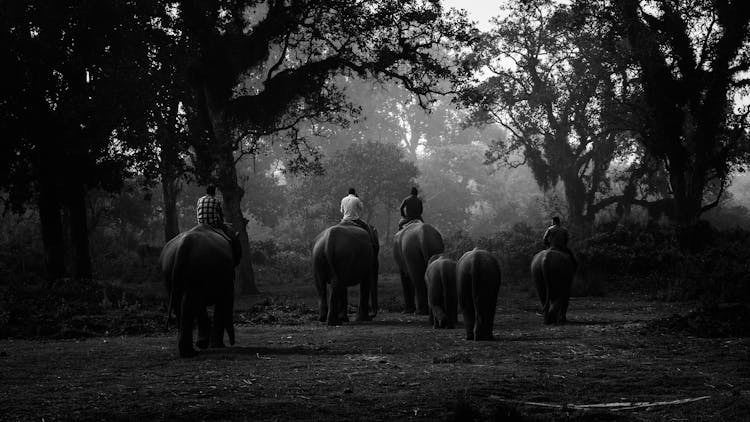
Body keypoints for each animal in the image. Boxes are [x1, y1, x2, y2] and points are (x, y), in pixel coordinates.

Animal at [160, 224, 236, 356]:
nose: (232, 342)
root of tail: (184, 245)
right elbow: (225, 299)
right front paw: (214, 345)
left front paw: (204, 343)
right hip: (199, 267)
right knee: (189, 303)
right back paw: (190, 351)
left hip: (170, 270)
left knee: (181, 303)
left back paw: (189, 351)